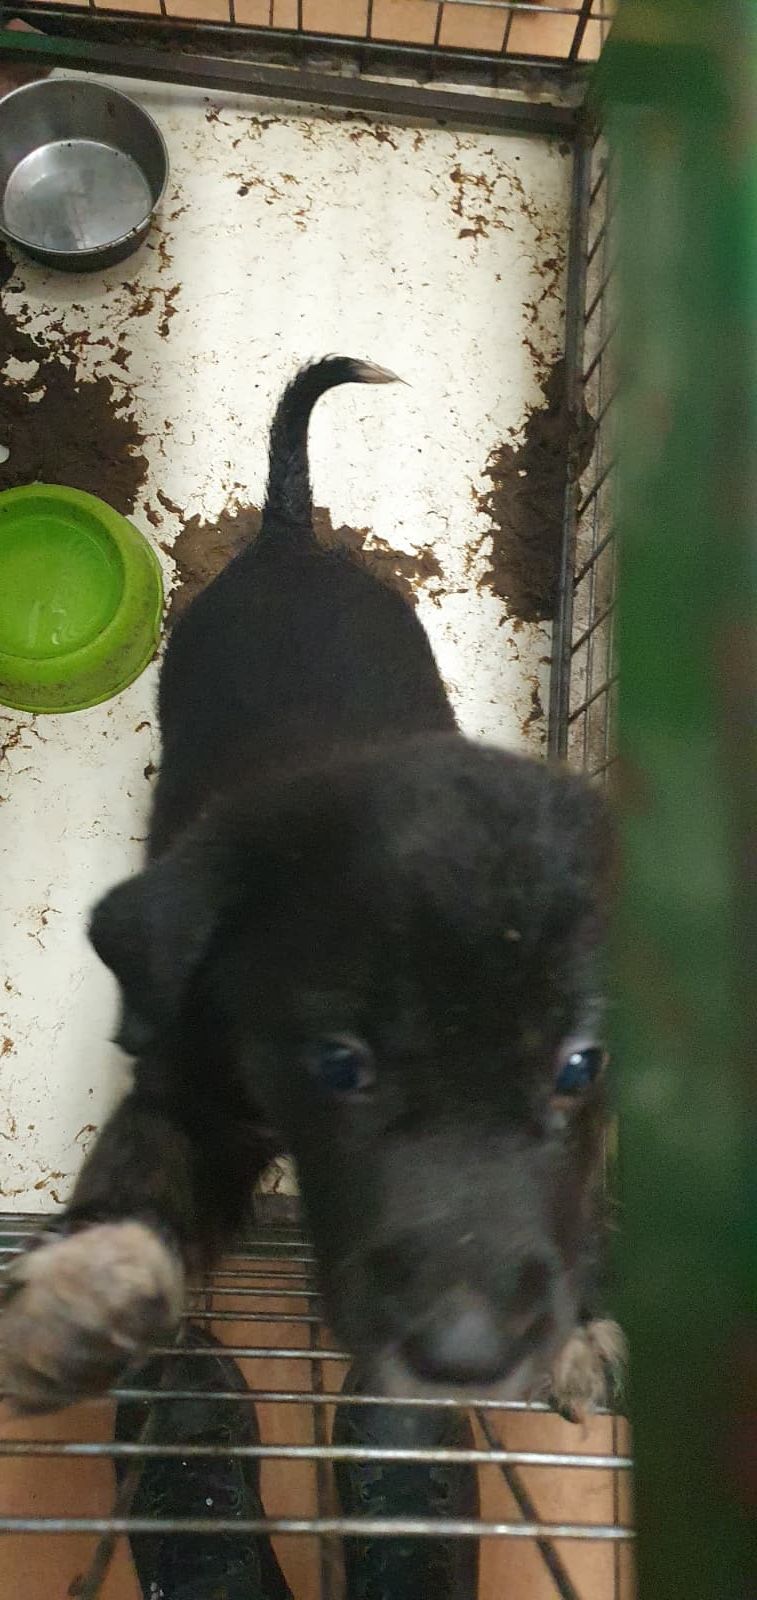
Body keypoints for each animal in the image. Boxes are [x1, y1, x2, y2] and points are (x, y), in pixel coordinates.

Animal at [0, 358, 624, 1414]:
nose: (465, 1360)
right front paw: (82, 1284)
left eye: (578, 1066)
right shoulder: (189, 1073)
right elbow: (146, 1161)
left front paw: (580, 1326)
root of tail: (288, 534)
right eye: (339, 1064)